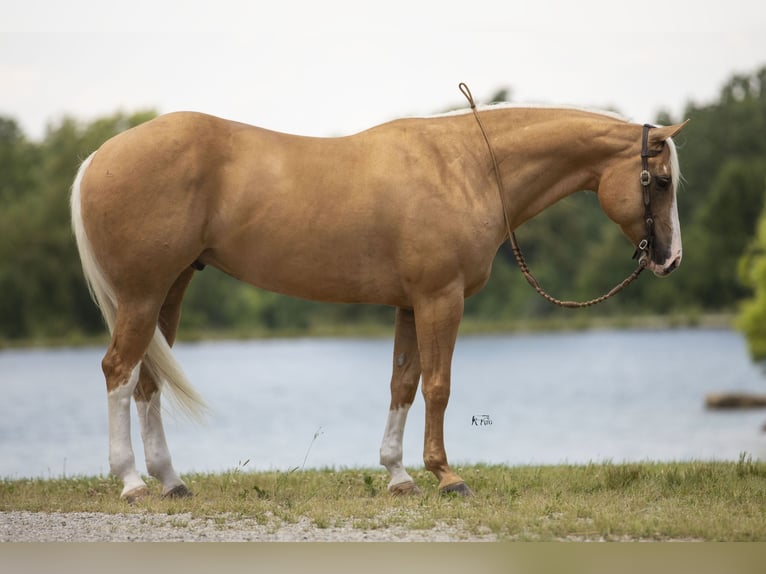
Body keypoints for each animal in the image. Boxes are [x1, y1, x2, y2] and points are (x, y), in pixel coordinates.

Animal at [70, 94, 684, 500]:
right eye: (662, 181)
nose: (670, 260)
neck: (467, 165)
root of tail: (99, 157)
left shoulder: (411, 304)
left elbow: (403, 384)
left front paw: (398, 474)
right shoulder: (442, 299)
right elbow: (438, 387)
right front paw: (447, 476)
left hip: (168, 291)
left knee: (147, 381)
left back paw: (171, 481)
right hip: (142, 294)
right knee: (119, 371)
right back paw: (131, 482)